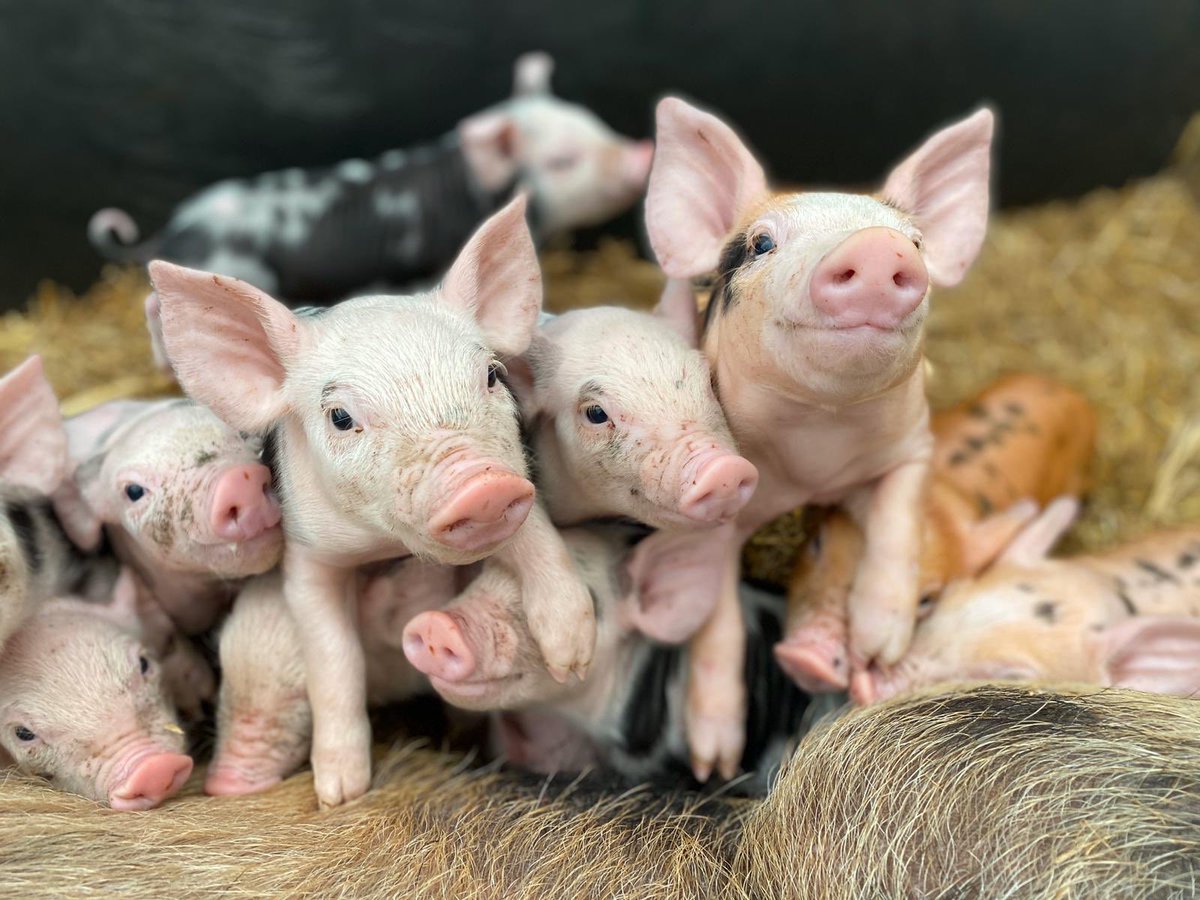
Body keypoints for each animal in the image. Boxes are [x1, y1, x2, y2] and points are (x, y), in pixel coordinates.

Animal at [635, 97, 995, 779]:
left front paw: (880, 644)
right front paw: (713, 762)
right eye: (762, 243)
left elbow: (898, 526)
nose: (880, 249)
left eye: (914, 243)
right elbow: (717, 620)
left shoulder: (914, 447)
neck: (816, 450)